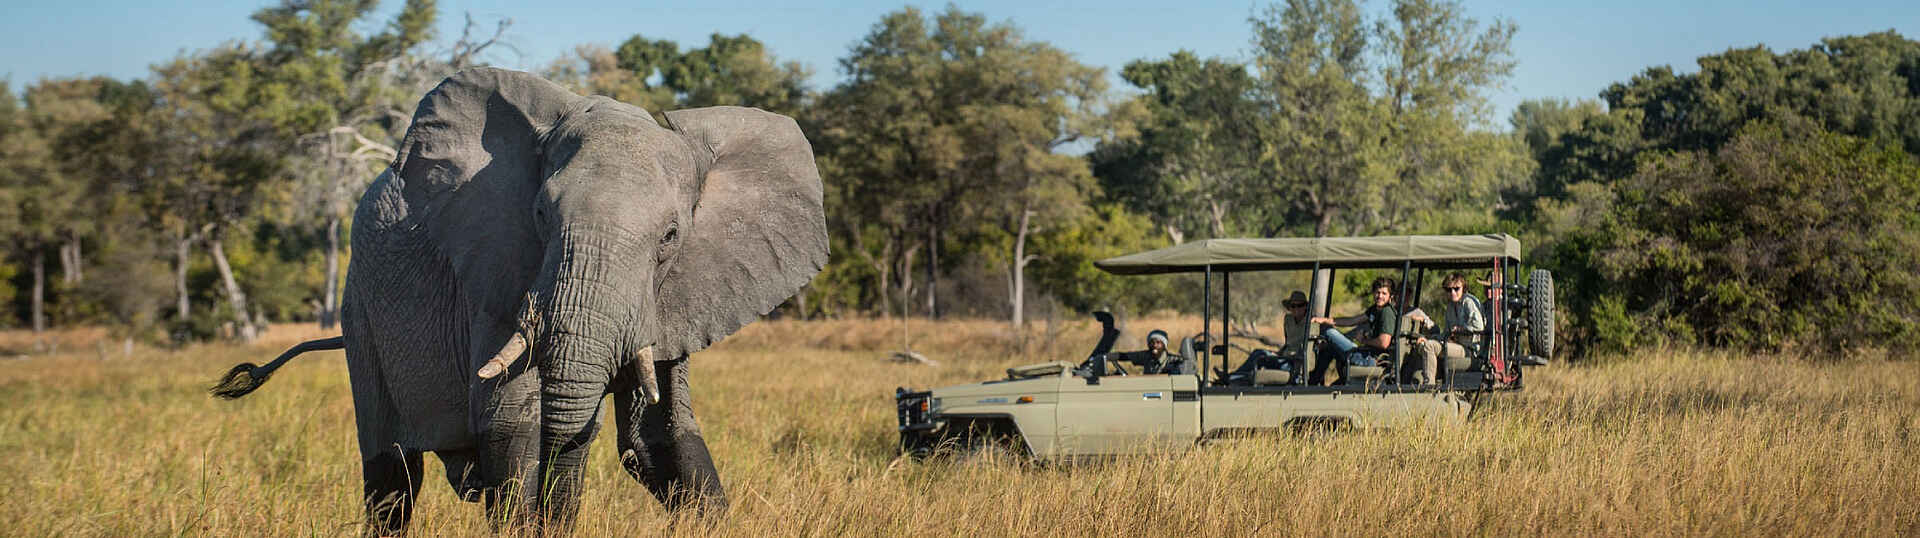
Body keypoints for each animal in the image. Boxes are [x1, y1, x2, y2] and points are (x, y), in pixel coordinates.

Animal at [210, 67, 827, 534]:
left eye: (671, 238)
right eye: (540, 215)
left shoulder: (679, 294)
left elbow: (663, 435)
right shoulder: (493, 274)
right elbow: (512, 422)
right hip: (359, 305)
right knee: (393, 476)